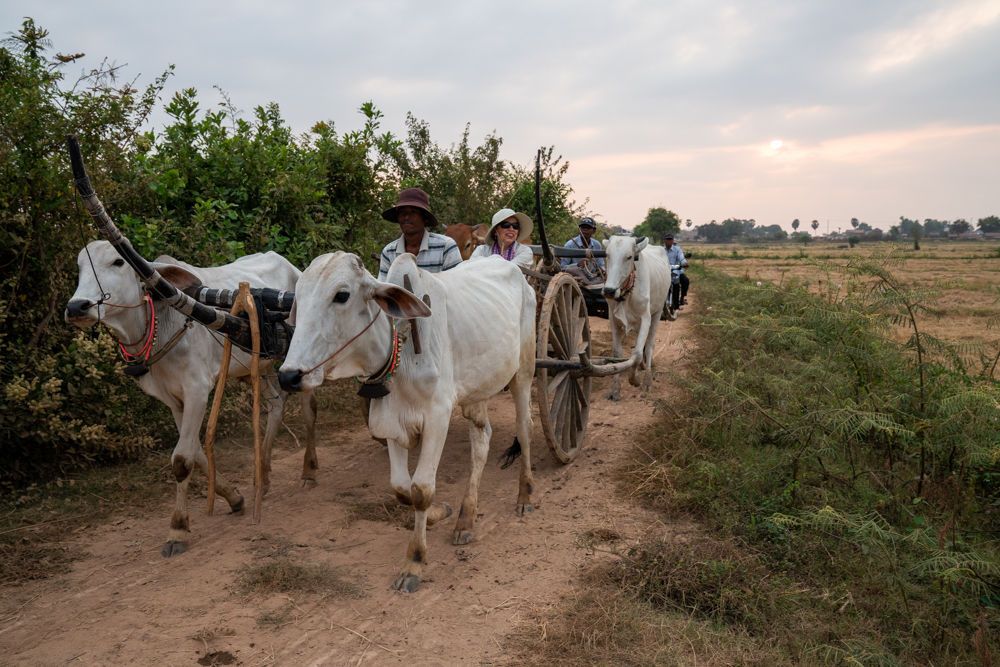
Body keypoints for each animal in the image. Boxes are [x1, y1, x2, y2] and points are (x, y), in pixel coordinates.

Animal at [65, 240, 319, 557]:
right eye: (79, 267)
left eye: (118, 262)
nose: (76, 307)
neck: (159, 323)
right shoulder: (174, 400)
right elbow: (196, 452)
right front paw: (233, 497)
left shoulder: (197, 389)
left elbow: (182, 459)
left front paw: (177, 528)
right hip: (258, 365)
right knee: (275, 404)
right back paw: (264, 475)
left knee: (309, 409)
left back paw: (309, 471)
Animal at [277, 252, 536, 593]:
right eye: (299, 297)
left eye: (342, 295)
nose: (289, 375)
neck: (398, 349)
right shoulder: (391, 422)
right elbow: (402, 489)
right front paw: (441, 512)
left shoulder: (438, 417)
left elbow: (422, 489)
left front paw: (413, 561)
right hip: (476, 392)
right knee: (481, 443)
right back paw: (466, 519)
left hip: (524, 371)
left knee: (524, 428)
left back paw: (525, 495)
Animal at [601, 235, 671, 401]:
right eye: (607, 255)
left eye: (629, 257)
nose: (609, 291)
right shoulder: (613, 320)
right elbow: (616, 354)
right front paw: (615, 390)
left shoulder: (646, 318)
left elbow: (638, 353)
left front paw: (635, 380)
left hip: (657, 312)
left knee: (649, 345)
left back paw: (647, 380)